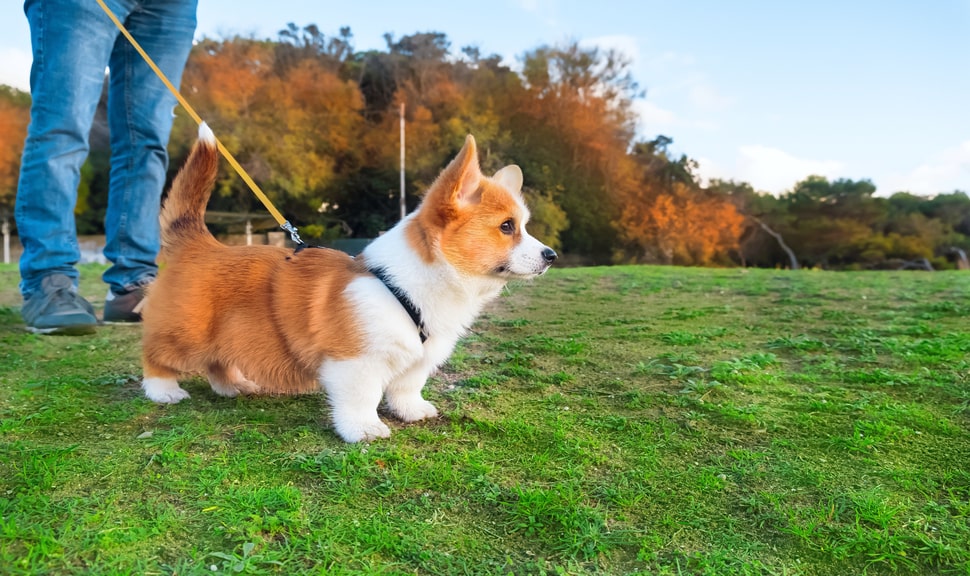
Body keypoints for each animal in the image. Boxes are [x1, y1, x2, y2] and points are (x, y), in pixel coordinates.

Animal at [140, 125, 556, 440]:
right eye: (507, 227)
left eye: (523, 225)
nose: (551, 255)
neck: (405, 288)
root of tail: (198, 242)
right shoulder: (354, 361)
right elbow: (362, 398)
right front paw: (364, 430)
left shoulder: (418, 360)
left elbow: (407, 387)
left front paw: (412, 411)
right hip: (185, 335)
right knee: (156, 356)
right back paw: (164, 391)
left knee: (217, 364)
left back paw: (233, 386)